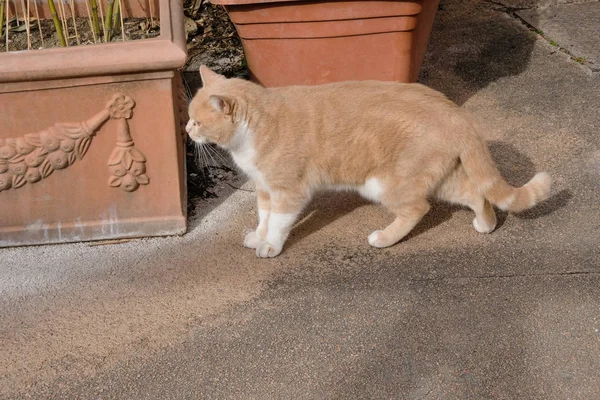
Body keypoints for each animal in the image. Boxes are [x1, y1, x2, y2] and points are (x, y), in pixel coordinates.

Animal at [188, 66, 552, 258]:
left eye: (198, 121)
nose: (187, 130)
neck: (253, 131)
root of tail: (455, 113)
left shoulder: (288, 192)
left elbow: (278, 223)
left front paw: (270, 246)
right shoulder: (265, 189)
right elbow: (264, 217)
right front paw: (258, 236)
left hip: (385, 184)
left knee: (418, 208)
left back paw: (384, 238)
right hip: (440, 178)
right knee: (475, 194)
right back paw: (485, 225)